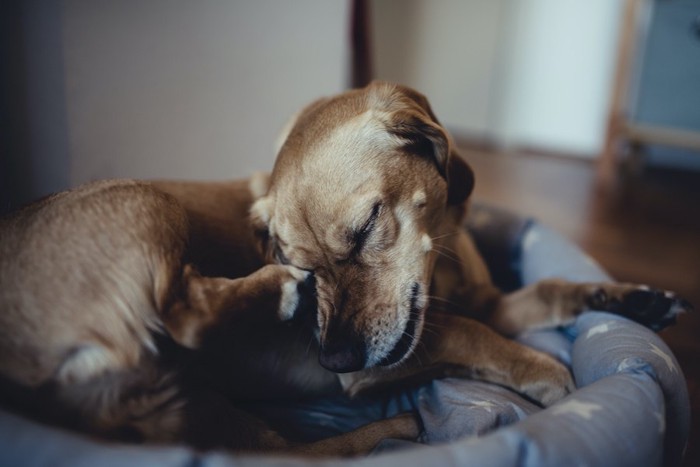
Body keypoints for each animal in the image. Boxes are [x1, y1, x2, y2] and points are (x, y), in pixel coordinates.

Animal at [0, 81, 688, 458]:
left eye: (364, 230)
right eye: (293, 256)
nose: (332, 358)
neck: (441, 264)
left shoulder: (490, 301)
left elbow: (547, 289)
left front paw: (628, 298)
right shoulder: (396, 356)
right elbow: (473, 336)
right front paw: (544, 371)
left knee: (283, 453)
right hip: (148, 201)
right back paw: (393, 417)